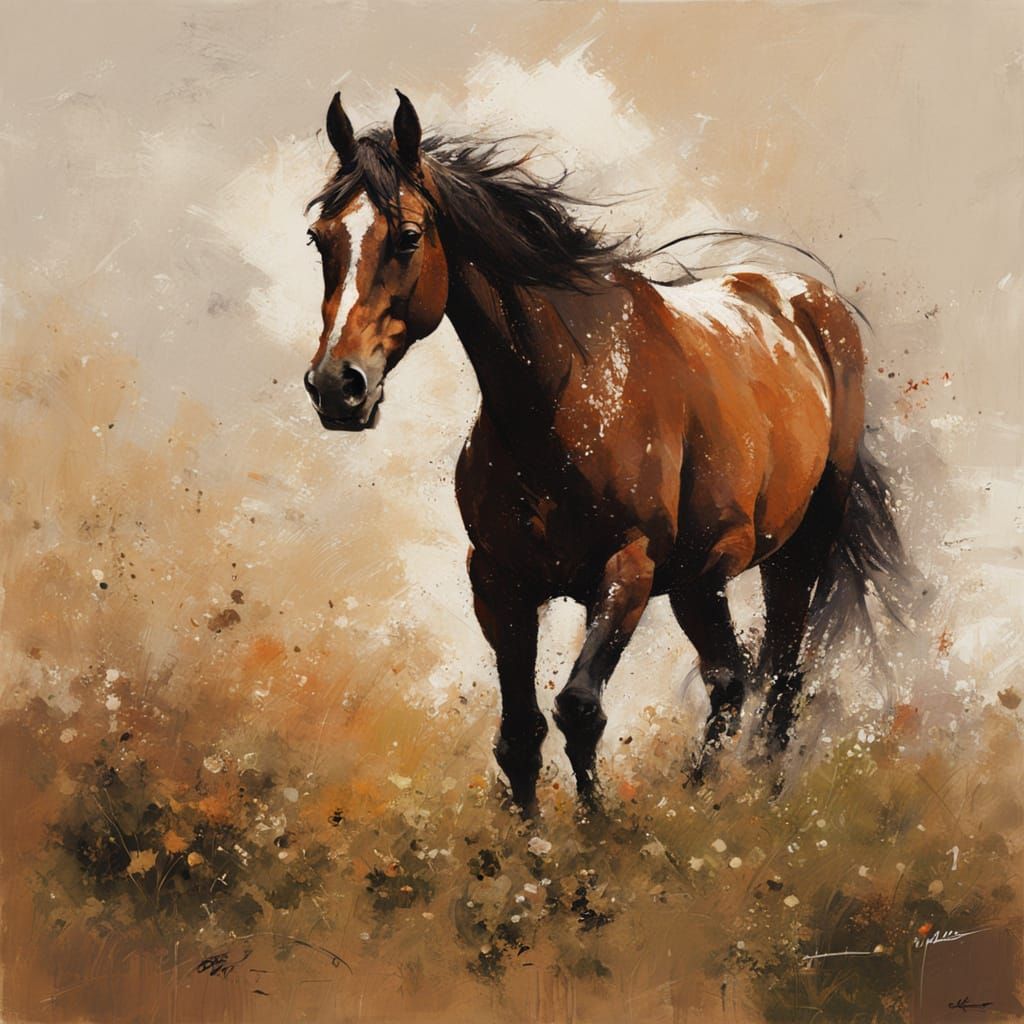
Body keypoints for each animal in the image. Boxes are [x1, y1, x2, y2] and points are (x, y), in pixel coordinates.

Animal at [302, 91, 910, 816]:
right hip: (701, 578)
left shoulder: (628, 571)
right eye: (320, 238)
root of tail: (804, 299)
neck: (563, 397)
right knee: (729, 679)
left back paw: (756, 803)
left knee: (783, 678)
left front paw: (597, 830)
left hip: (797, 551)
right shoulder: (498, 581)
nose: (336, 385)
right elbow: (520, 733)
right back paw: (698, 799)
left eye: (408, 236)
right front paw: (531, 839)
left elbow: (579, 707)